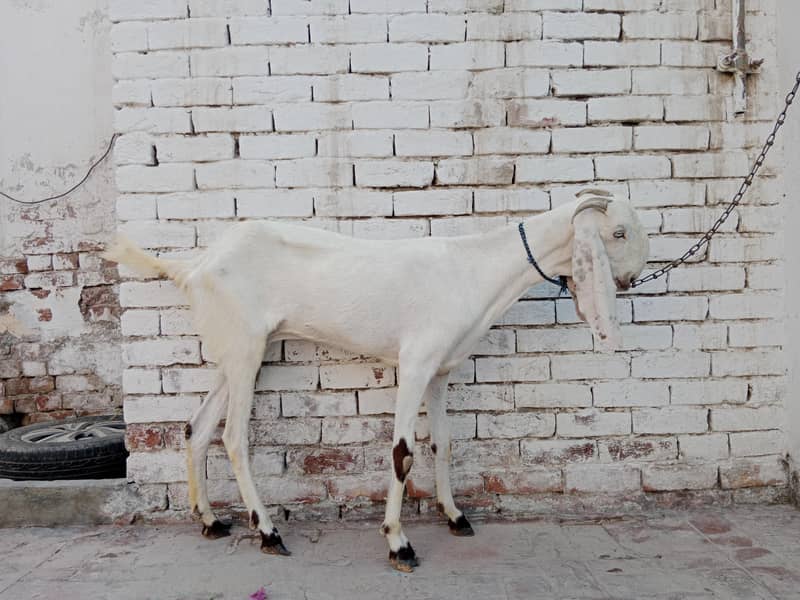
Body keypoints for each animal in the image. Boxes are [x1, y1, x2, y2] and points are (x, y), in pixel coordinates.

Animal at [104, 190, 649, 572]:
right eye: (619, 232)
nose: (632, 280)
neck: (473, 268)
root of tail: (193, 268)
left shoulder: (440, 369)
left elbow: (443, 442)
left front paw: (455, 516)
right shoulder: (415, 361)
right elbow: (402, 452)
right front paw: (398, 543)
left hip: (233, 353)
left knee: (195, 427)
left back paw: (211, 520)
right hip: (244, 352)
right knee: (233, 437)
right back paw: (268, 532)